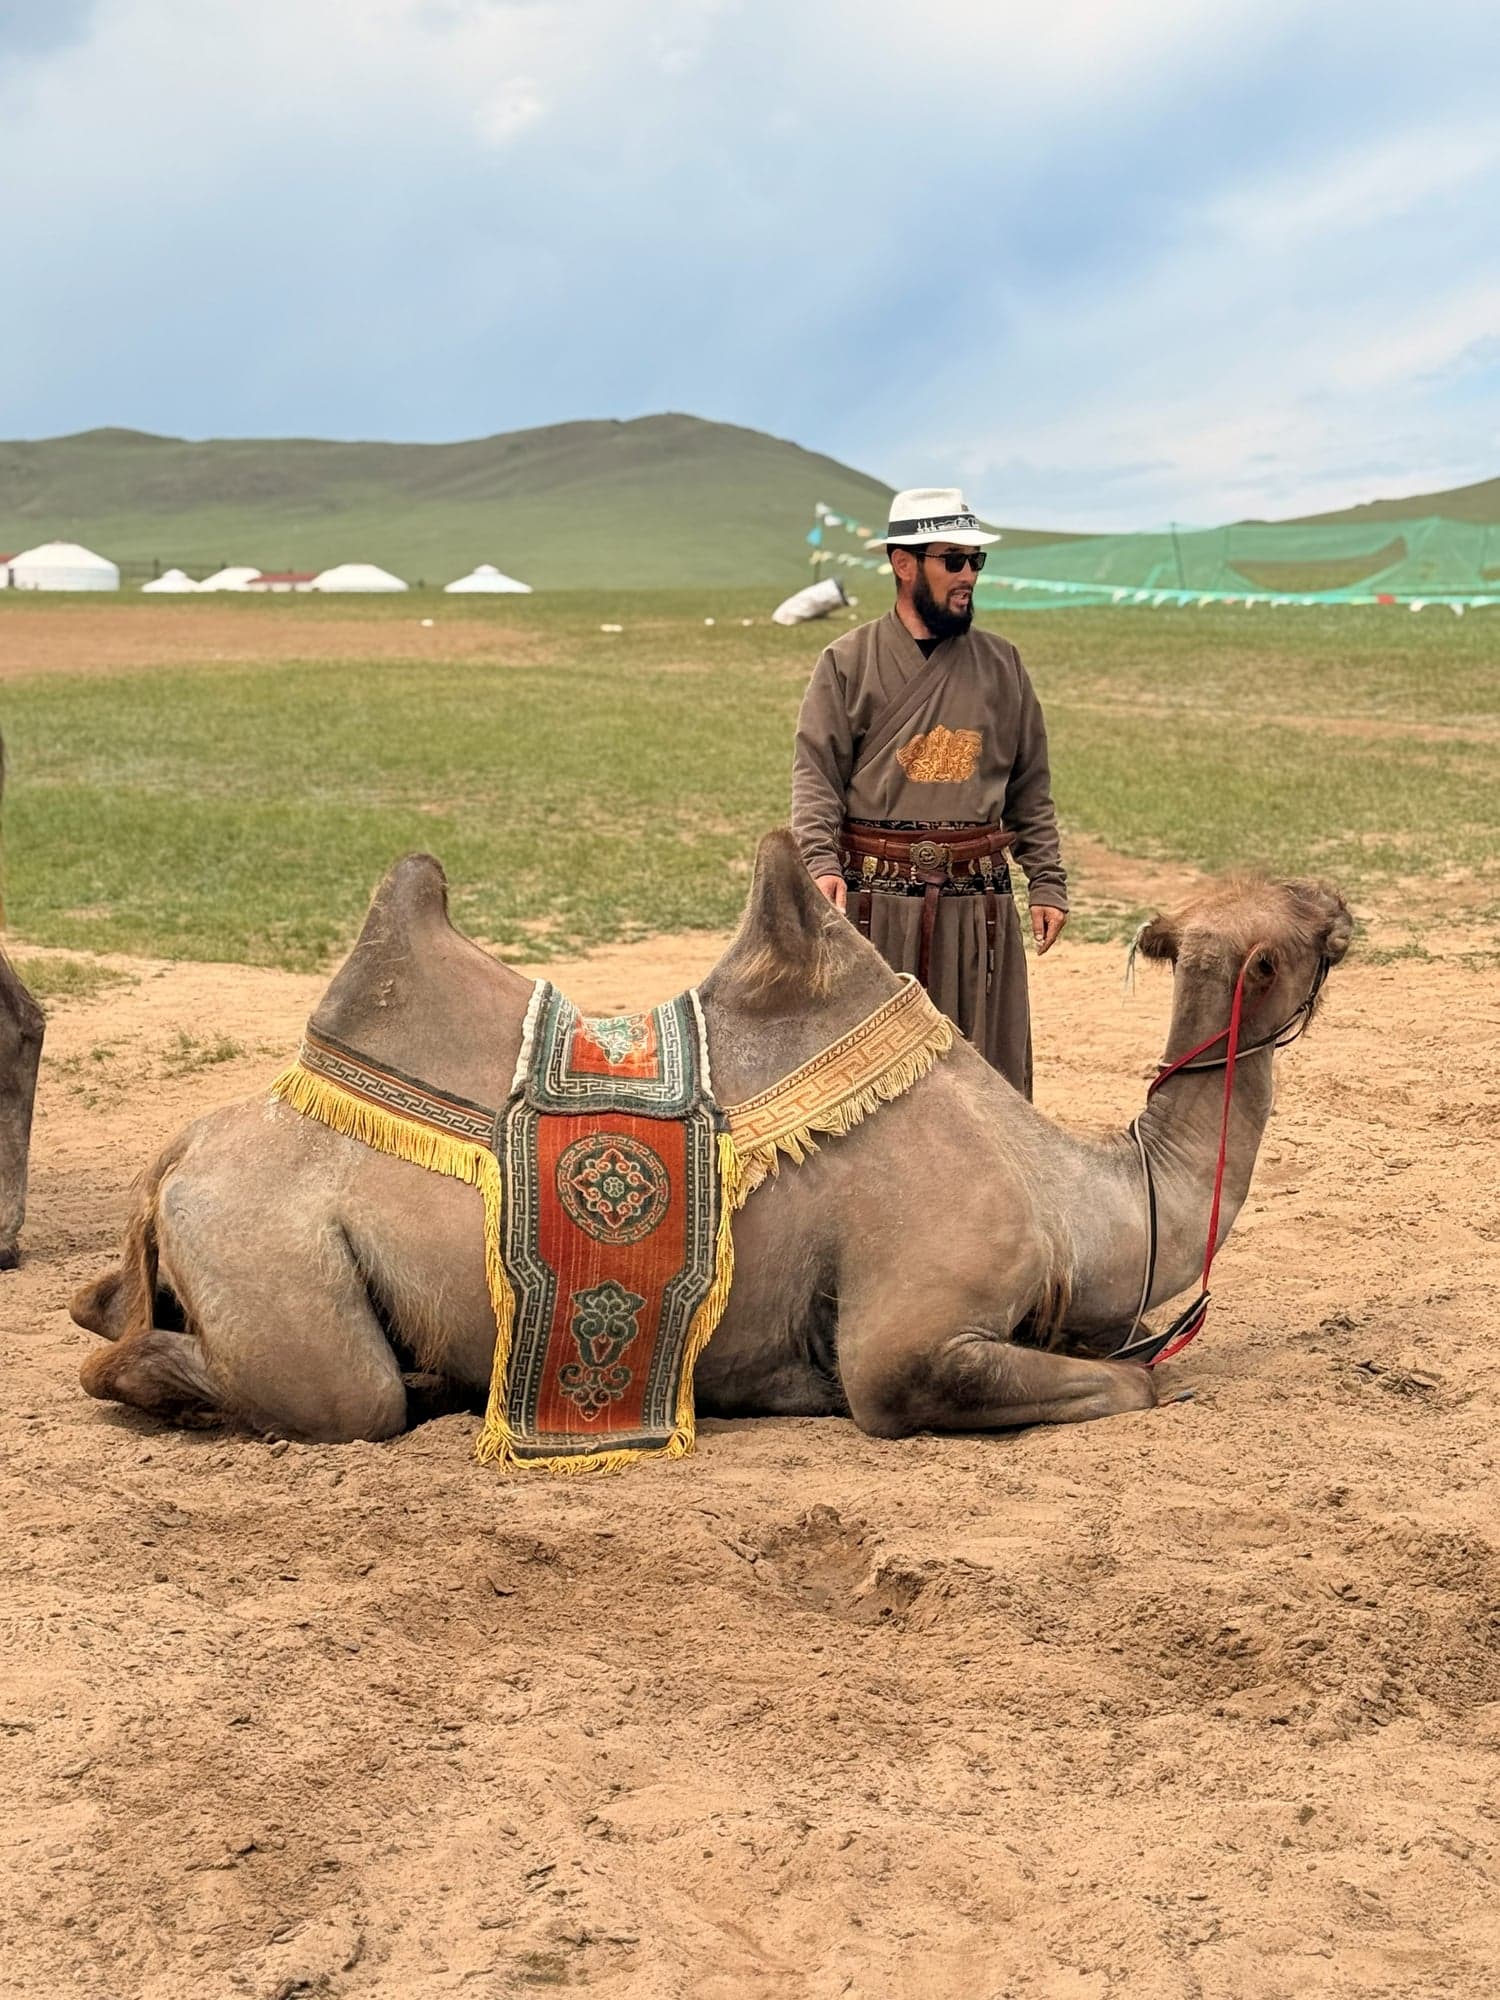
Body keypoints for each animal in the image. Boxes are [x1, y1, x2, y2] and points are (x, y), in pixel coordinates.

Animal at [72, 832, 1351, 1443]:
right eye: (1304, 926)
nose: (1344, 900)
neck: (1074, 1194)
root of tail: (174, 1156)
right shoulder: (910, 1340)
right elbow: (1134, 1384)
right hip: (269, 1256)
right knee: (321, 1395)